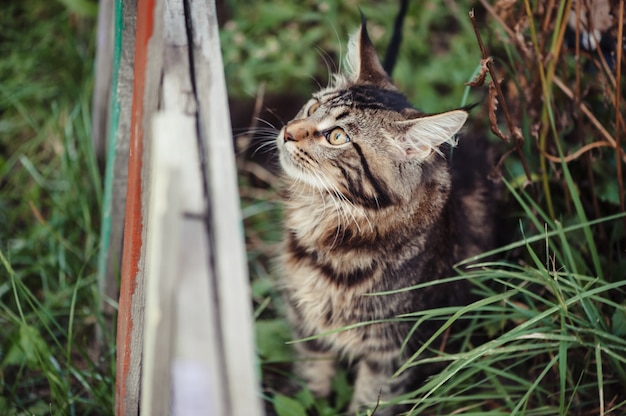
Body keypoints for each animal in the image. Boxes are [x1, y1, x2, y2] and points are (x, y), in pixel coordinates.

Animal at [272, 17, 492, 416]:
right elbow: (311, 385)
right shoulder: (307, 328)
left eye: (337, 137)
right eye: (313, 108)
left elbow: (368, 404)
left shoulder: (392, 353)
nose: (286, 133)